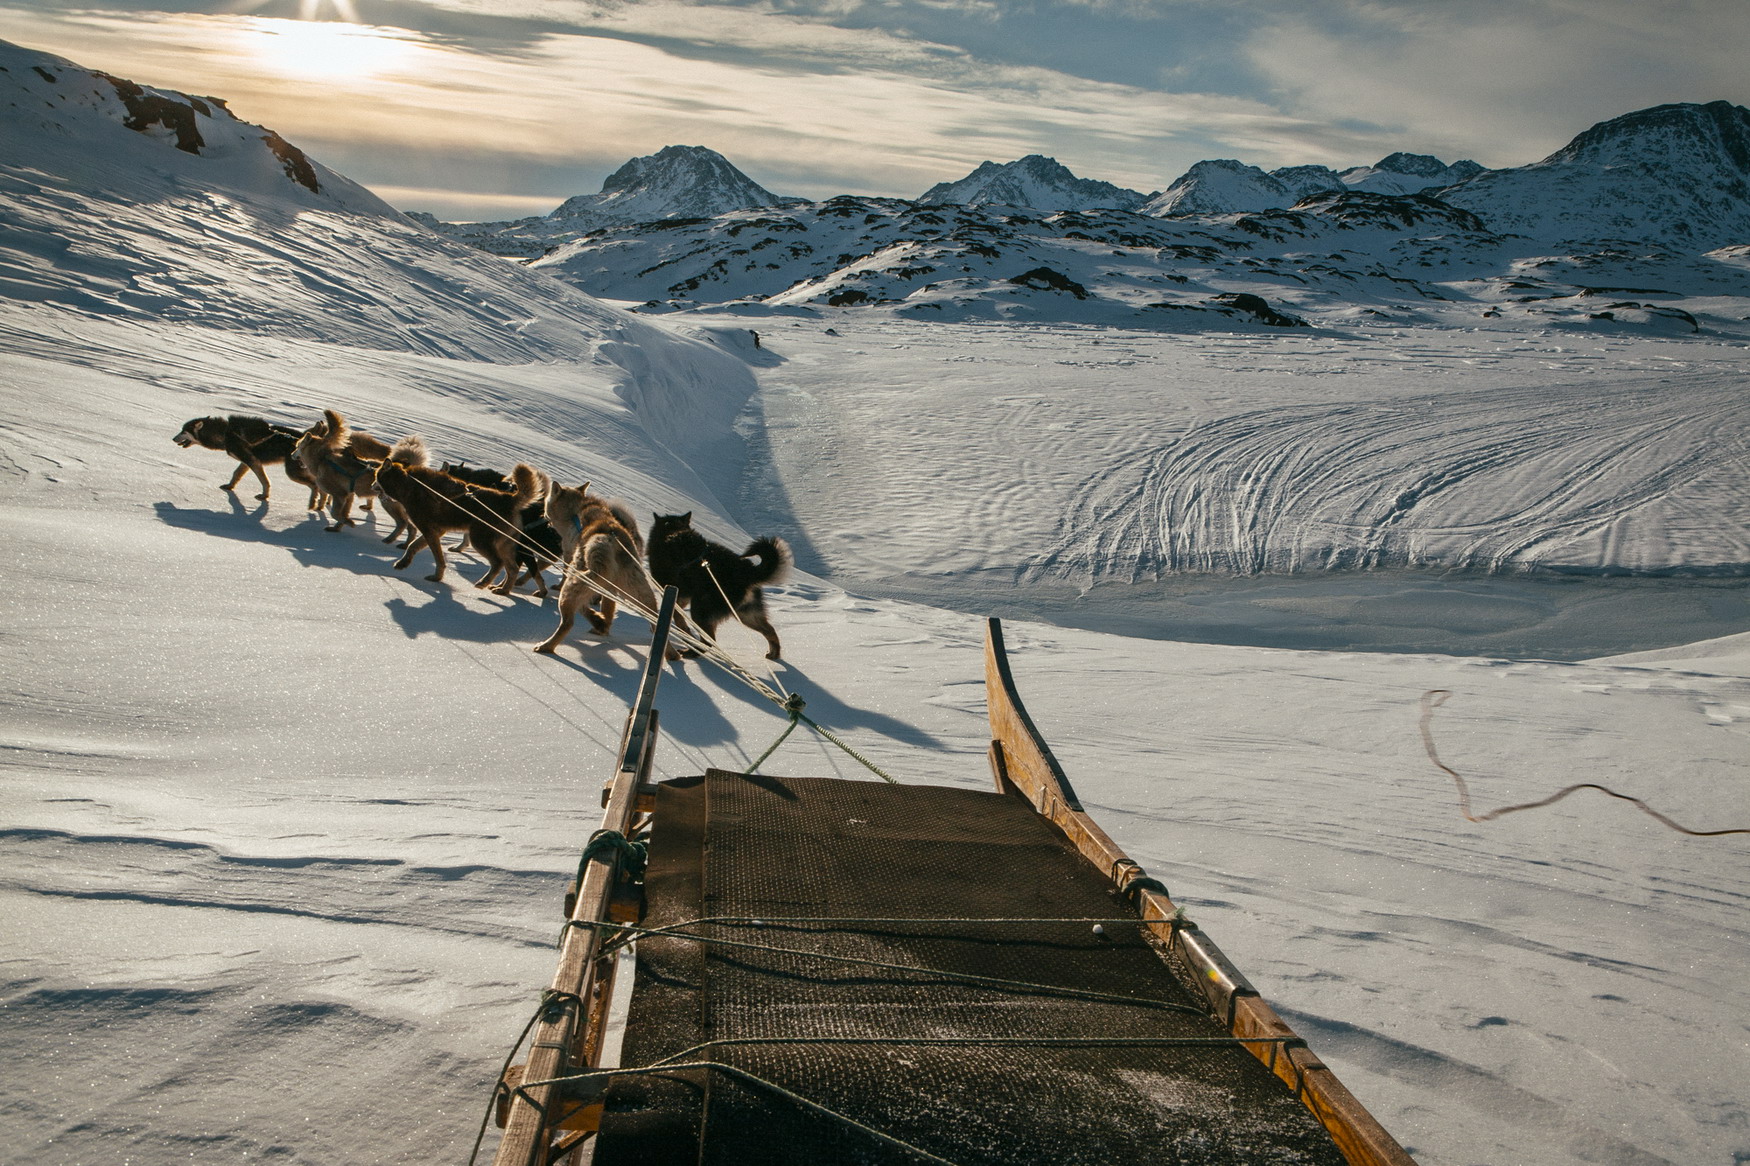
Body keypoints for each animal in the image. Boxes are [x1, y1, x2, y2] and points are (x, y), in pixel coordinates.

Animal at [369, 444, 532, 591]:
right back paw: (503, 590)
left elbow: (435, 556)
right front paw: (410, 566)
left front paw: (435, 576)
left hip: (480, 539)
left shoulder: (429, 530)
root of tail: (510, 498)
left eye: (376, 475)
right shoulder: (435, 531)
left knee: (498, 563)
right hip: (504, 544)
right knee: (513, 568)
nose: (371, 485)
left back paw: (484, 582)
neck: (408, 484)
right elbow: (413, 546)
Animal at [532, 479, 675, 658]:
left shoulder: (572, 563)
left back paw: (546, 646)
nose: (542, 516)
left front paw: (597, 620)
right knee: (656, 622)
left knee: (568, 622)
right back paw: (671, 653)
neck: (576, 513)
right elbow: (605, 609)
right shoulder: (608, 587)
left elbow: (580, 603)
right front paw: (601, 623)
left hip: (574, 588)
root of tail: (612, 541)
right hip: (640, 593)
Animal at [651, 514, 794, 658]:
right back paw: (774, 654)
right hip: (745, 613)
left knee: (709, 640)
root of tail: (747, 571)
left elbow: (678, 616)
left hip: (701, 608)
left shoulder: (674, 591)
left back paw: (693, 651)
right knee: (770, 630)